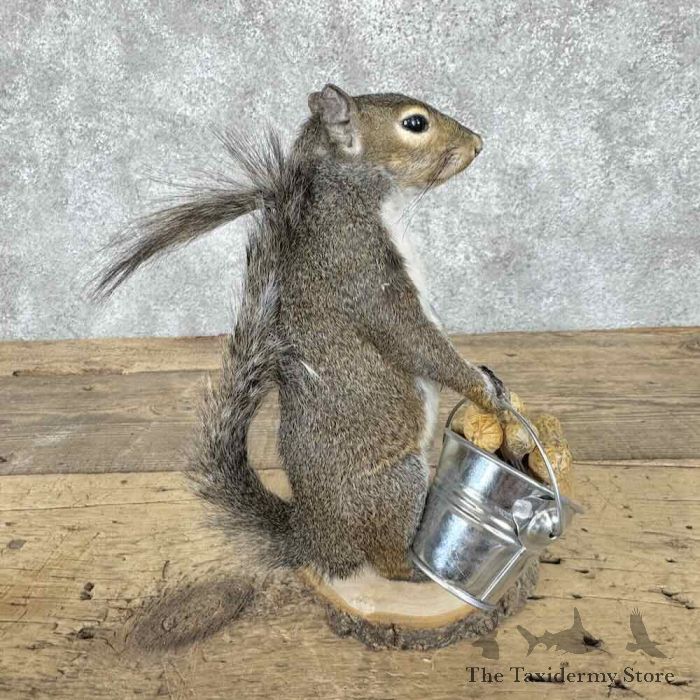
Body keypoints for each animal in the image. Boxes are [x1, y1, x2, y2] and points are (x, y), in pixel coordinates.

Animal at [96, 85, 510, 582]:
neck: (363, 202)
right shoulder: (363, 279)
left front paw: (488, 374)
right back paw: (416, 573)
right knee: (385, 559)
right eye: (415, 124)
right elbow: (417, 344)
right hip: (396, 484)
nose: (478, 143)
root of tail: (314, 536)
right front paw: (483, 389)